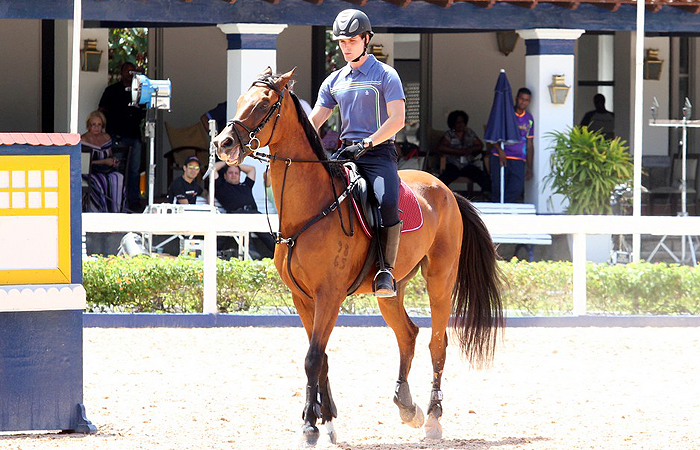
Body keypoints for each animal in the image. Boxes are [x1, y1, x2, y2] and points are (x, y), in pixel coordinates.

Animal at [215, 68, 504, 444]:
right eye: (239, 101)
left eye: (264, 104)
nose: (223, 144)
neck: (312, 207)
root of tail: (445, 189)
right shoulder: (302, 298)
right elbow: (320, 357)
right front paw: (327, 421)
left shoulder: (329, 295)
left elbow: (313, 357)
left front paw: (310, 426)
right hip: (392, 289)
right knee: (408, 334)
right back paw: (406, 406)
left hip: (440, 279)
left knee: (437, 343)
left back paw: (433, 418)